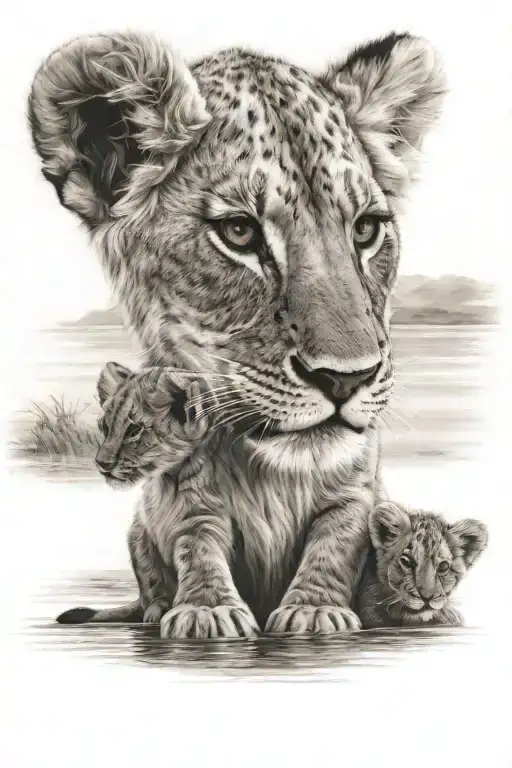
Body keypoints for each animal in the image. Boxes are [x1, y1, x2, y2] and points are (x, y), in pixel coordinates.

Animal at [29, 31, 446, 637]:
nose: (347, 379)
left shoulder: (355, 495)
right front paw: (207, 611)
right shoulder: (192, 505)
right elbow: (198, 545)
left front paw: (314, 610)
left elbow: (336, 541)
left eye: (367, 229)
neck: (272, 475)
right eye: (240, 232)